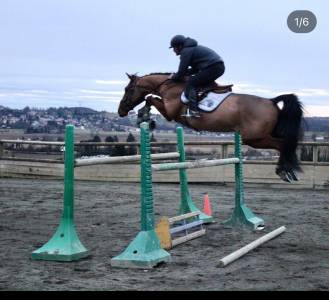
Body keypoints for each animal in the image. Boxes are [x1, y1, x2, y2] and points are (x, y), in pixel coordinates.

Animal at [117, 72, 302, 183]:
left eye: (128, 89)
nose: (121, 110)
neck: (170, 86)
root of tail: (271, 101)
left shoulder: (170, 112)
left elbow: (150, 98)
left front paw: (143, 115)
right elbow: (150, 97)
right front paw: (144, 116)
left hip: (255, 138)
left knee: (282, 145)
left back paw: (283, 171)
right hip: (262, 135)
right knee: (287, 144)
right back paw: (290, 171)